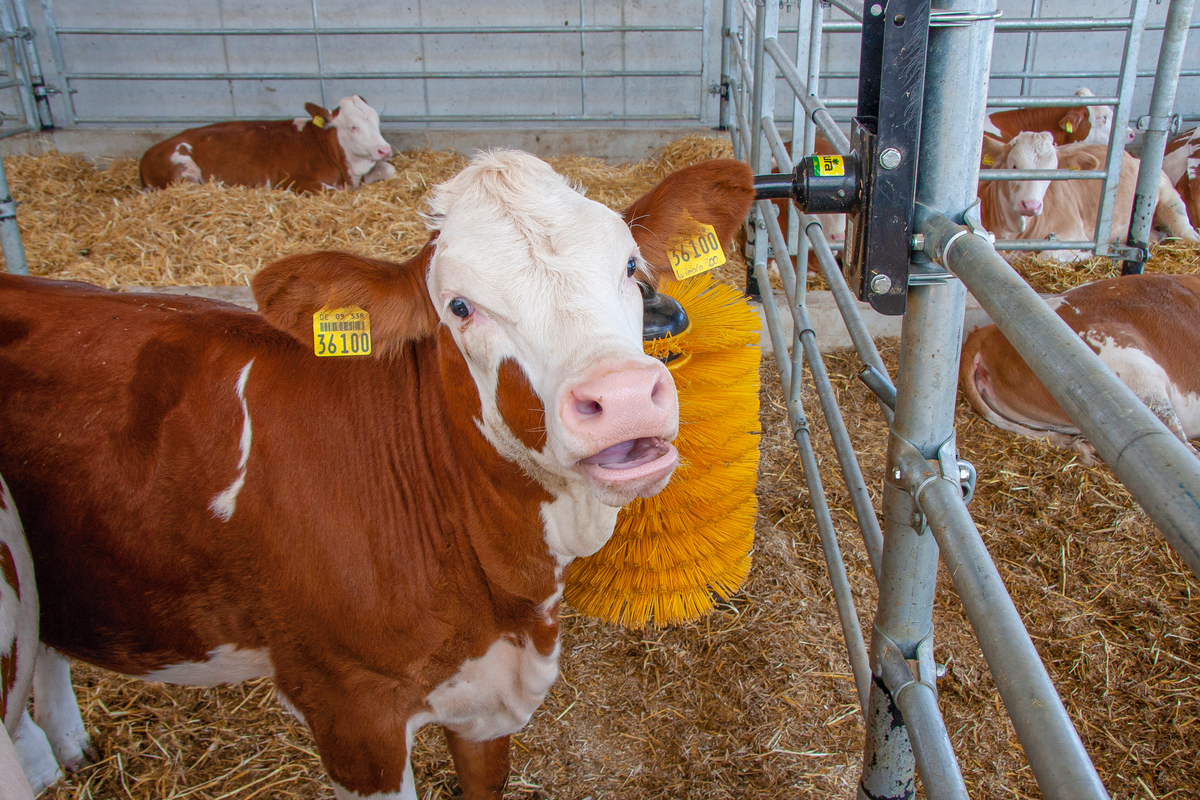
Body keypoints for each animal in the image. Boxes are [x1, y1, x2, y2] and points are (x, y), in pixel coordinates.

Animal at [0, 151, 753, 800]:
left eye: (630, 266)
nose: (622, 397)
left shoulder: (485, 700)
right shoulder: (351, 712)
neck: (502, 593)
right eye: (459, 307)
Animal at [139, 94, 393, 191]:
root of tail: (147, 154)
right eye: (353, 127)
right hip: (183, 173)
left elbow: (390, 170)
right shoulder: (293, 182)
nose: (384, 149)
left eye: (377, 120)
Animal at [979, 130, 1195, 257]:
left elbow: (1049, 254)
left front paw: (1087, 254)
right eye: (1014, 165)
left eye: (1053, 170)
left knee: (1186, 231)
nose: (1031, 205)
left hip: (1169, 197)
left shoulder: (1072, 233)